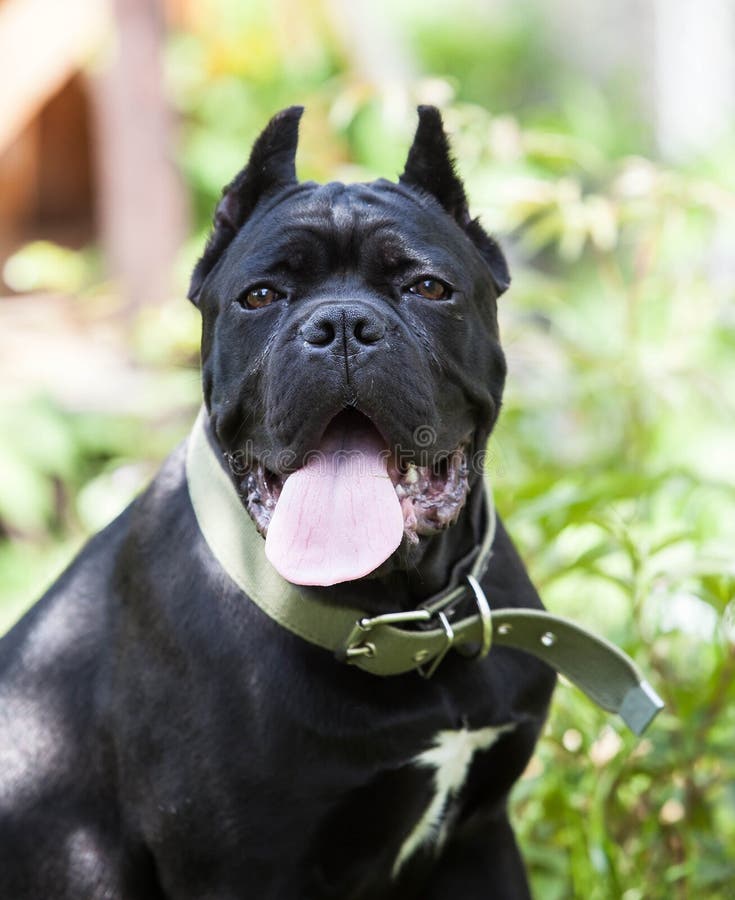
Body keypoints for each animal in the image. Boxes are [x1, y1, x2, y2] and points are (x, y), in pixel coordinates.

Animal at [0, 109, 552, 896]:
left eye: (427, 287)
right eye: (259, 296)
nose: (343, 324)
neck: (394, 613)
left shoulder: (480, 837)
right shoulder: (242, 868)